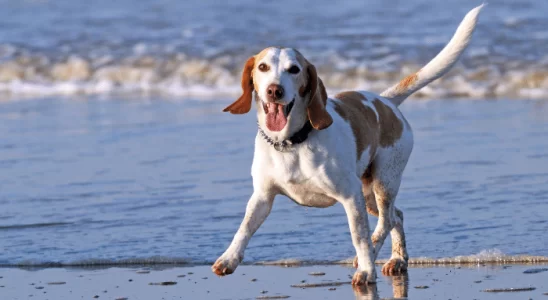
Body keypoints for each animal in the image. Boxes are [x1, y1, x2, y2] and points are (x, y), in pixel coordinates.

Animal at [212, 5, 482, 286]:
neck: (292, 142)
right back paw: (398, 259)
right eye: (263, 67)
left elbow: (359, 237)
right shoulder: (262, 196)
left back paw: (375, 255)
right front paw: (229, 258)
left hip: (383, 183)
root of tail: (386, 101)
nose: (274, 90)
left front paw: (365, 270)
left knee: (386, 221)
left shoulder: (350, 196)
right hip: (369, 194)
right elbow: (244, 228)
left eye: (294, 69)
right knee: (397, 216)